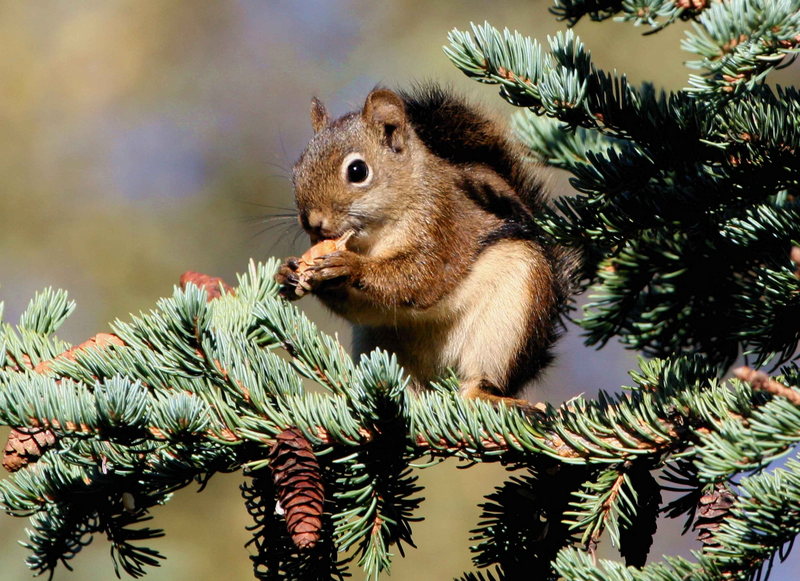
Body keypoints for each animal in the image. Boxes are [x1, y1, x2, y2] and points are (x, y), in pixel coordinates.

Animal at [276, 84, 576, 408]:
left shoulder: (443, 225)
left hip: (510, 318)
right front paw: (288, 272)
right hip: (378, 342)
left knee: (480, 383)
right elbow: (362, 308)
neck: (374, 240)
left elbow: (421, 277)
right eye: (298, 168)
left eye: (357, 171)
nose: (312, 222)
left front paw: (349, 267)